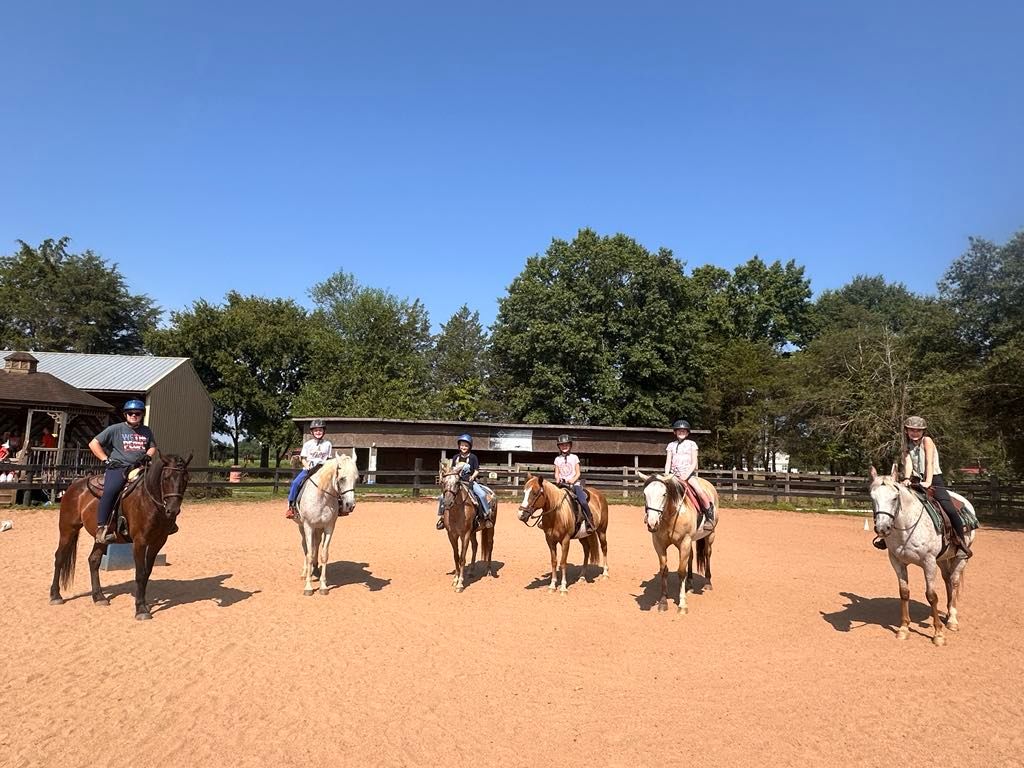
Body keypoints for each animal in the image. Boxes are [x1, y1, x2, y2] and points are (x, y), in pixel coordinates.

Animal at [48, 454, 192, 622]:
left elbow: (147, 572)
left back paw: (99, 597)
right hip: (68, 529)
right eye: (166, 478)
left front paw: (143, 604)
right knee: (59, 557)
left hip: (101, 539)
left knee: (94, 560)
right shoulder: (140, 542)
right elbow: (140, 573)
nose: (173, 510)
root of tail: (75, 485)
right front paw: (141, 609)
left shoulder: (158, 541)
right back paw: (55, 595)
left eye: (186, 478)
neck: (148, 500)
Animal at [294, 454, 358, 598]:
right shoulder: (308, 526)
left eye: (356, 479)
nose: (350, 505)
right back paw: (305, 572)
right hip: (302, 527)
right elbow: (309, 554)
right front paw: (308, 587)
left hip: (319, 529)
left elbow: (324, 555)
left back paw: (315, 570)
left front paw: (323, 586)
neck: (322, 497)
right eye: (342, 478)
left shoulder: (329, 527)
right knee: (305, 547)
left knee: (316, 545)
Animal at [436, 460, 495, 593]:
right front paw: (455, 579)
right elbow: (456, 556)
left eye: (458, 482)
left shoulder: (465, 534)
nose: (447, 502)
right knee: (475, 546)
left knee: (489, 545)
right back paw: (471, 571)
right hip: (473, 531)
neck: (457, 511)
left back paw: (488, 570)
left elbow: (462, 558)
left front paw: (460, 584)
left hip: (490, 528)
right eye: (443, 482)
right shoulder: (452, 535)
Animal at [634, 473, 716, 618]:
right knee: (691, 557)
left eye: (664, 494)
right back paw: (690, 585)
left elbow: (681, 572)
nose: (652, 523)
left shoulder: (684, 542)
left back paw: (707, 583)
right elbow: (664, 571)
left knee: (707, 554)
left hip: (709, 536)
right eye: (644, 494)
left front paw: (682, 605)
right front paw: (663, 602)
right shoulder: (659, 544)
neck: (671, 516)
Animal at [872, 466, 974, 647]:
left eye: (894, 497)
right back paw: (948, 614)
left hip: (961, 557)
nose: (882, 528)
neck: (907, 527)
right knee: (947, 580)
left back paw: (952, 620)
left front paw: (938, 634)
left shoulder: (929, 563)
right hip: (942, 559)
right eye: (872, 497)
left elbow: (931, 596)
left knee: (954, 581)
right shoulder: (897, 561)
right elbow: (904, 592)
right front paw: (904, 629)